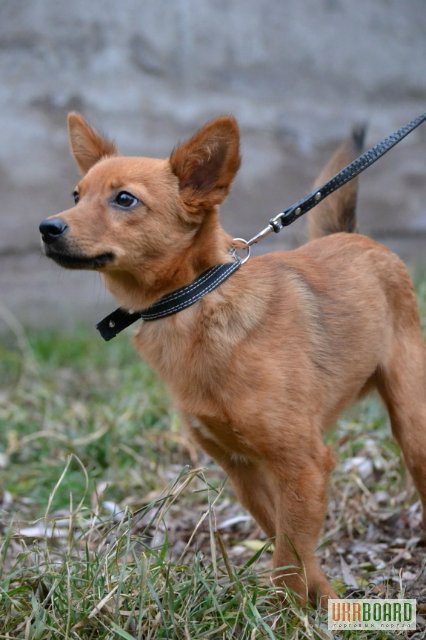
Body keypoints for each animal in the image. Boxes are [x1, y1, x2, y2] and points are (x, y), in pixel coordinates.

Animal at [40, 112, 426, 608]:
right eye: (76, 195)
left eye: (124, 199)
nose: (47, 228)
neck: (194, 303)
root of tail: (353, 236)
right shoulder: (244, 471)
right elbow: (290, 544)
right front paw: (319, 598)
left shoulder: (302, 463)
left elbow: (288, 557)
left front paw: (288, 613)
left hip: (413, 425)